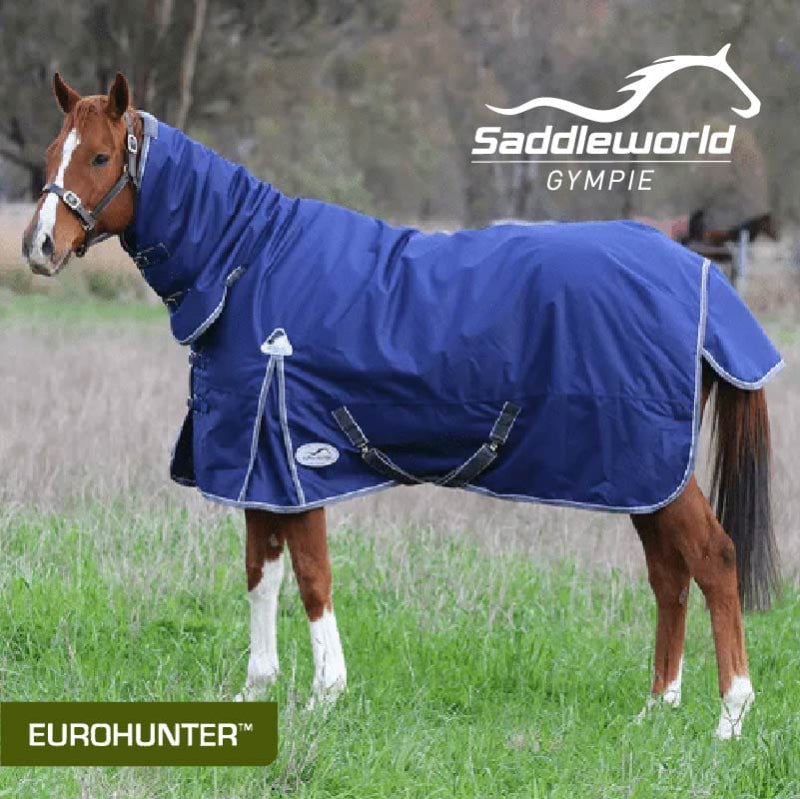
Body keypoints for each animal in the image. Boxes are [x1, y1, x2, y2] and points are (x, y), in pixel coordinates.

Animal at [22, 73, 784, 740]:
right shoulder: (256, 464)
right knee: (669, 574)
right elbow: (260, 575)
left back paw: (730, 717)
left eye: (99, 156)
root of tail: (700, 273)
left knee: (714, 558)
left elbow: (311, 577)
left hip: (655, 468)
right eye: (51, 152)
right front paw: (257, 690)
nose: (39, 247)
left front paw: (325, 696)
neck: (248, 265)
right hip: (642, 475)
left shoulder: (298, 461)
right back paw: (656, 708)